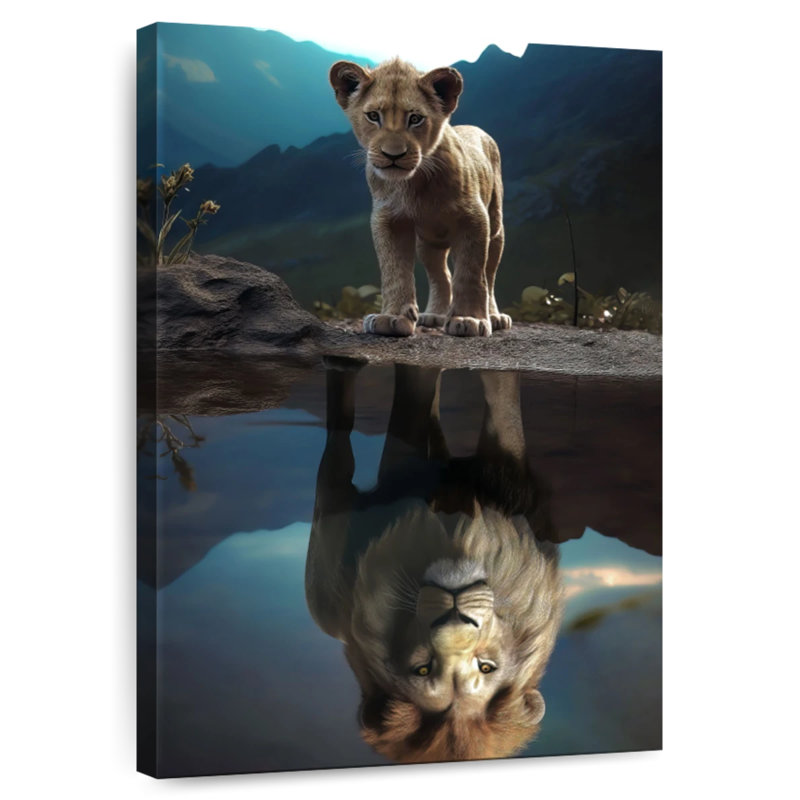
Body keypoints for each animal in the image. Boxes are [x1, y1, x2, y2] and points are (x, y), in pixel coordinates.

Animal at [305, 363, 563, 763]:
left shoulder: (514, 487)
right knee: (338, 439)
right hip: (326, 549)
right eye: (423, 668)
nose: (455, 620)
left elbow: (503, 404)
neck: (459, 538)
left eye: (486, 667)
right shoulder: (403, 473)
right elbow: (414, 395)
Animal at [329, 58, 511, 337]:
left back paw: (494, 316)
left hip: (496, 228)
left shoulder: (474, 218)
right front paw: (392, 318)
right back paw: (435, 315)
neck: (414, 184)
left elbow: (471, 273)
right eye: (373, 116)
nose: (393, 155)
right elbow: (394, 270)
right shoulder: (388, 219)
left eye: (415, 119)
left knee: (489, 274)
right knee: (441, 275)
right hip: (428, 243)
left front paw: (469, 319)